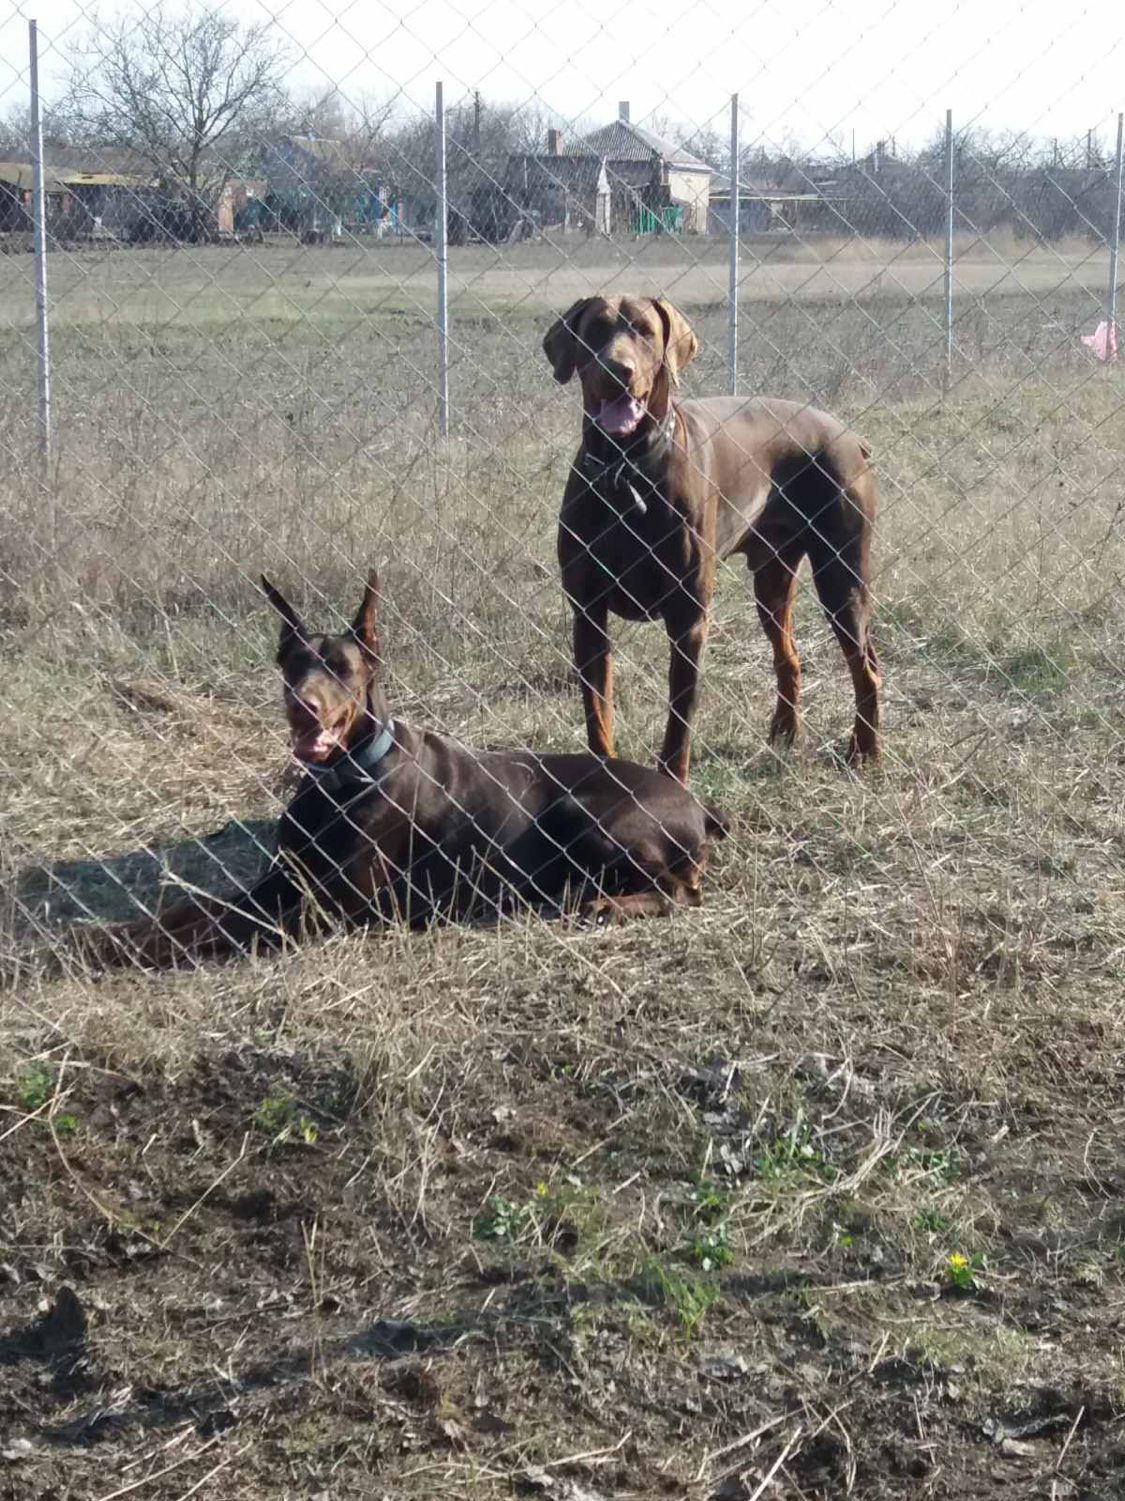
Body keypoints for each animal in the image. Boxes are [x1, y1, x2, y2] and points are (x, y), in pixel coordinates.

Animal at [94, 567, 732, 966]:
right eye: (293, 665)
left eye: (344, 669)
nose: (304, 705)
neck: (344, 780)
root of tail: (698, 803)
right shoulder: (282, 881)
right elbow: (197, 908)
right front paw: (111, 934)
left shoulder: (334, 908)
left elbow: (225, 926)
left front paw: (131, 952)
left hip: (585, 814)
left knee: (683, 890)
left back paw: (608, 905)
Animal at [546, 295, 882, 786]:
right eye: (595, 330)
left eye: (645, 331)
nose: (617, 370)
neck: (625, 470)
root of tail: (849, 436)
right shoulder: (588, 615)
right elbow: (597, 714)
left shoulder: (688, 620)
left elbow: (679, 719)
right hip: (773, 581)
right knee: (789, 655)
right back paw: (785, 732)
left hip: (842, 577)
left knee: (868, 669)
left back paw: (865, 750)